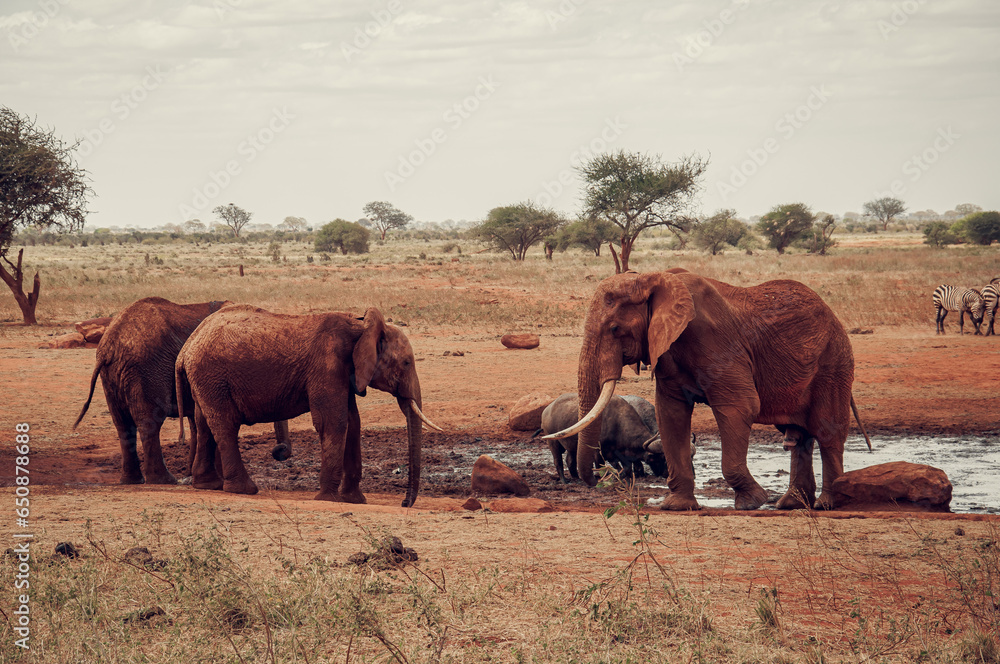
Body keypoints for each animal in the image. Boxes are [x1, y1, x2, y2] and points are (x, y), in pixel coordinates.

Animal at [73, 296, 290, 484]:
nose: (279, 452)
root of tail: (110, 345)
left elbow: (198, 423)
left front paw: (192, 475)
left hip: (113, 376)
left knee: (122, 424)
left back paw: (131, 481)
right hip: (147, 370)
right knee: (148, 423)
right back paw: (163, 480)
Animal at [175, 304, 440, 507]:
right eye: (406, 363)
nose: (404, 503)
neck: (361, 327)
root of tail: (186, 347)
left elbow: (353, 422)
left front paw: (355, 500)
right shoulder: (327, 365)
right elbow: (333, 422)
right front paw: (329, 499)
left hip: (206, 380)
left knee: (204, 423)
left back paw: (208, 485)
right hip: (212, 376)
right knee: (225, 425)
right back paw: (245, 489)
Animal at [545, 268, 871, 511]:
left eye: (614, 329)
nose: (599, 479)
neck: (655, 279)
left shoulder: (714, 339)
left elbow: (740, 406)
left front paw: (752, 502)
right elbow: (671, 413)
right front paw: (677, 506)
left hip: (834, 361)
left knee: (827, 432)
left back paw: (825, 504)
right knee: (798, 435)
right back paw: (790, 504)